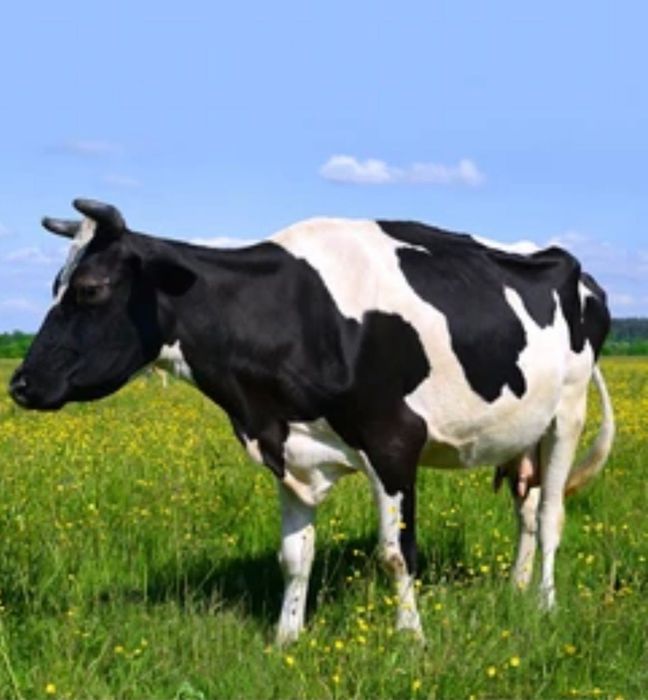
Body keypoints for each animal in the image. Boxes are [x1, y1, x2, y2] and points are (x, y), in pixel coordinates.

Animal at [9, 199, 614, 644]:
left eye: (90, 289)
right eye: (54, 286)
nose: (20, 384)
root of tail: (573, 267)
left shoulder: (394, 442)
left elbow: (397, 554)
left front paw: (411, 640)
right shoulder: (288, 448)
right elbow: (295, 557)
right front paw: (286, 639)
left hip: (567, 413)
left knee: (553, 514)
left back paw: (544, 604)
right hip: (522, 432)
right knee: (528, 511)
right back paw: (515, 590)